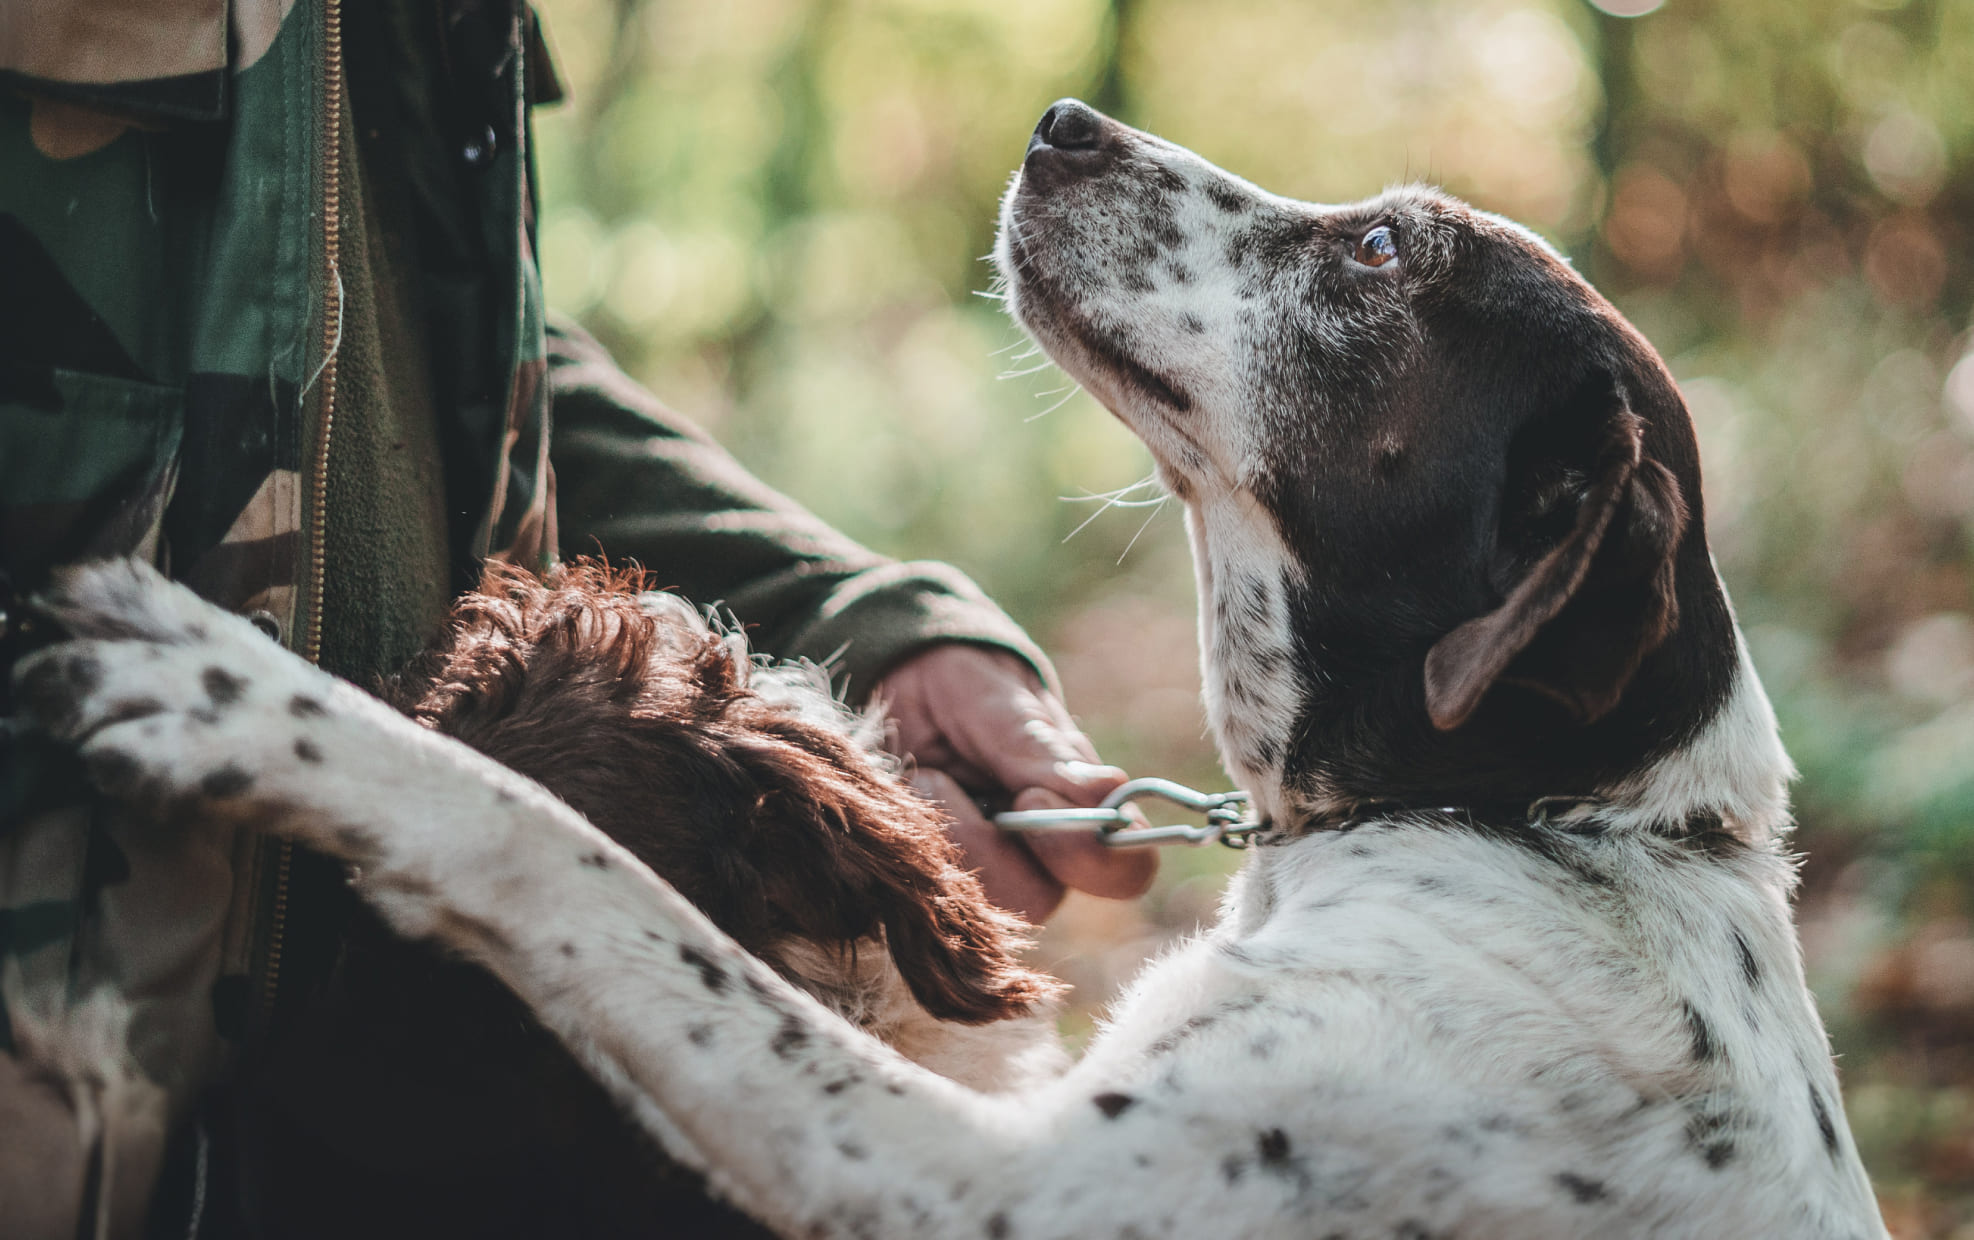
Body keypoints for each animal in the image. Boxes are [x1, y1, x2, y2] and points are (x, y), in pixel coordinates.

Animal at [19, 101, 1895, 1232]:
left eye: (1378, 254)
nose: (1063, 119)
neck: (1549, 829)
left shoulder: (973, 1178)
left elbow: (569, 870)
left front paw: (248, 706)